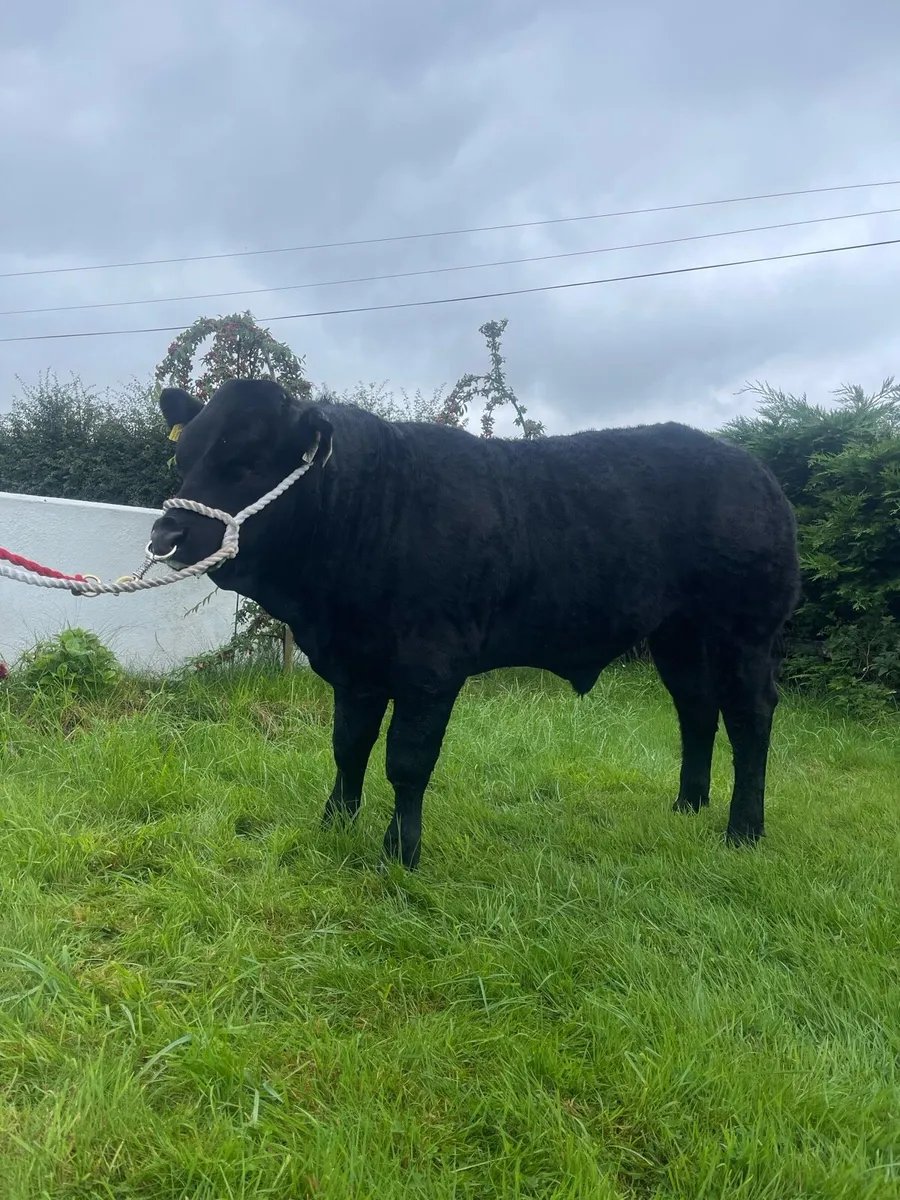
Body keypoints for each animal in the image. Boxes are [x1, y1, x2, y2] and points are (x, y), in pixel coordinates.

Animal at [148, 378, 800, 871]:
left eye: (249, 462)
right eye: (184, 457)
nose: (167, 534)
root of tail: (755, 469)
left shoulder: (430, 668)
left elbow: (407, 760)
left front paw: (399, 854)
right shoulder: (356, 667)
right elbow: (348, 747)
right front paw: (334, 824)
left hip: (745, 631)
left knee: (750, 716)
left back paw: (744, 829)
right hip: (678, 636)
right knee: (696, 709)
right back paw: (688, 805)